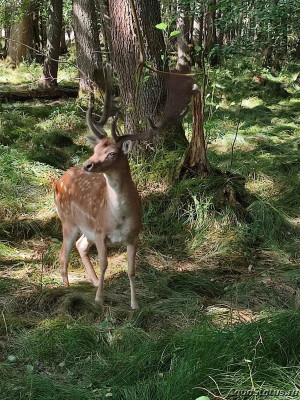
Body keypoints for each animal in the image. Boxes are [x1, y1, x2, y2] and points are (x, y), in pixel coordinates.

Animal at [54, 65, 197, 310]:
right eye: (95, 150)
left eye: (112, 153)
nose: (87, 164)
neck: (118, 217)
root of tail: (57, 181)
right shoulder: (101, 232)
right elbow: (105, 264)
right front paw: (100, 299)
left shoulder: (133, 236)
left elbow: (131, 270)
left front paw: (134, 304)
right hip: (68, 220)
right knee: (63, 252)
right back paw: (67, 288)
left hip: (85, 228)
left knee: (80, 246)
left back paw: (93, 282)